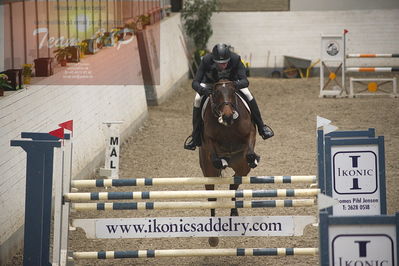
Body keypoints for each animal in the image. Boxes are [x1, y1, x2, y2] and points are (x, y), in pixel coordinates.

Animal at [199, 80, 260, 246]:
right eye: (215, 93)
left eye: (233, 92)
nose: (226, 116)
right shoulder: (208, 139)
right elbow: (214, 156)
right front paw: (221, 161)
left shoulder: (250, 132)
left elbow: (250, 150)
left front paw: (254, 158)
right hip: (208, 173)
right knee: (212, 197)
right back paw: (213, 237)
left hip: (242, 168)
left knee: (234, 185)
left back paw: (234, 212)